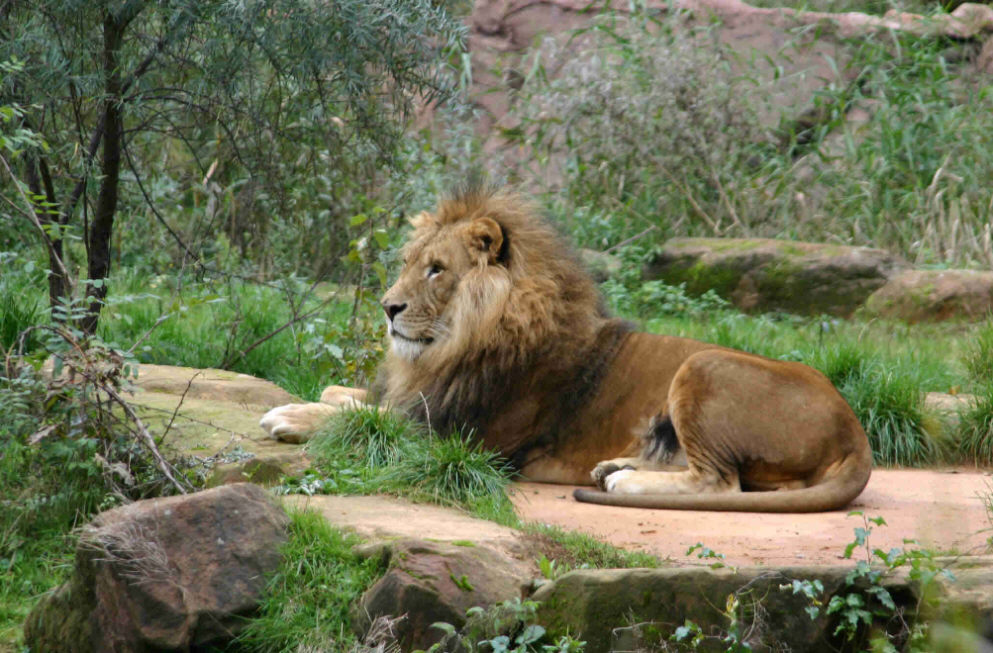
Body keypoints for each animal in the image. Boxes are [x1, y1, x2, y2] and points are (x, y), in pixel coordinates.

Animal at [260, 183, 872, 510]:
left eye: (436, 270)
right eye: (409, 263)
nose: (388, 308)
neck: (452, 347)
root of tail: (855, 431)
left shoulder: (457, 437)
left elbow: (361, 419)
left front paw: (289, 414)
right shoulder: (426, 398)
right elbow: (349, 397)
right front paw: (323, 396)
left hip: (704, 364)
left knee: (720, 484)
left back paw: (625, 479)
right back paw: (617, 466)